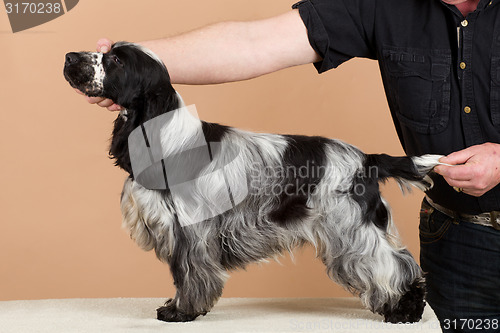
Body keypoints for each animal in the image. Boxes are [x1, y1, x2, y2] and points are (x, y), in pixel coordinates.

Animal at [63, 41, 442, 322]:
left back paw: (405, 310)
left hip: (350, 228)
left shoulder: (190, 228)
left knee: (394, 265)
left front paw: (181, 311)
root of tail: (366, 160)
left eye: (115, 60)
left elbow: (188, 273)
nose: (69, 56)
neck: (165, 136)